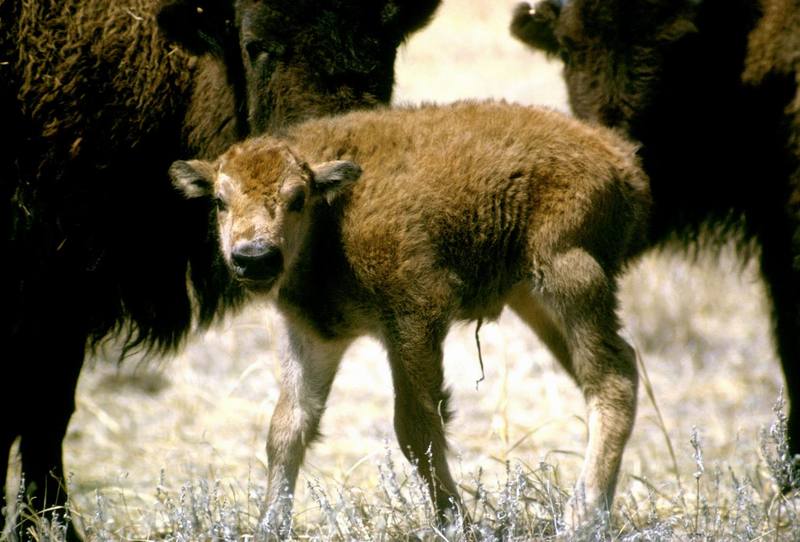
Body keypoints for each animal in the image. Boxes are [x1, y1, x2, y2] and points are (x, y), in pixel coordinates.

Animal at [172, 101, 652, 524]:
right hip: (534, 300)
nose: (254, 257)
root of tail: (618, 158)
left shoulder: (413, 318)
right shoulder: (313, 335)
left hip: (569, 278)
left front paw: (455, 522)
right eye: (220, 200)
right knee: (605, 374)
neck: (333, 216)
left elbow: (416, 429)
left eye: (297, 198)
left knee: (613, 379)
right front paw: (269, 527)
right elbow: (288, 427)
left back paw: (581, 517)